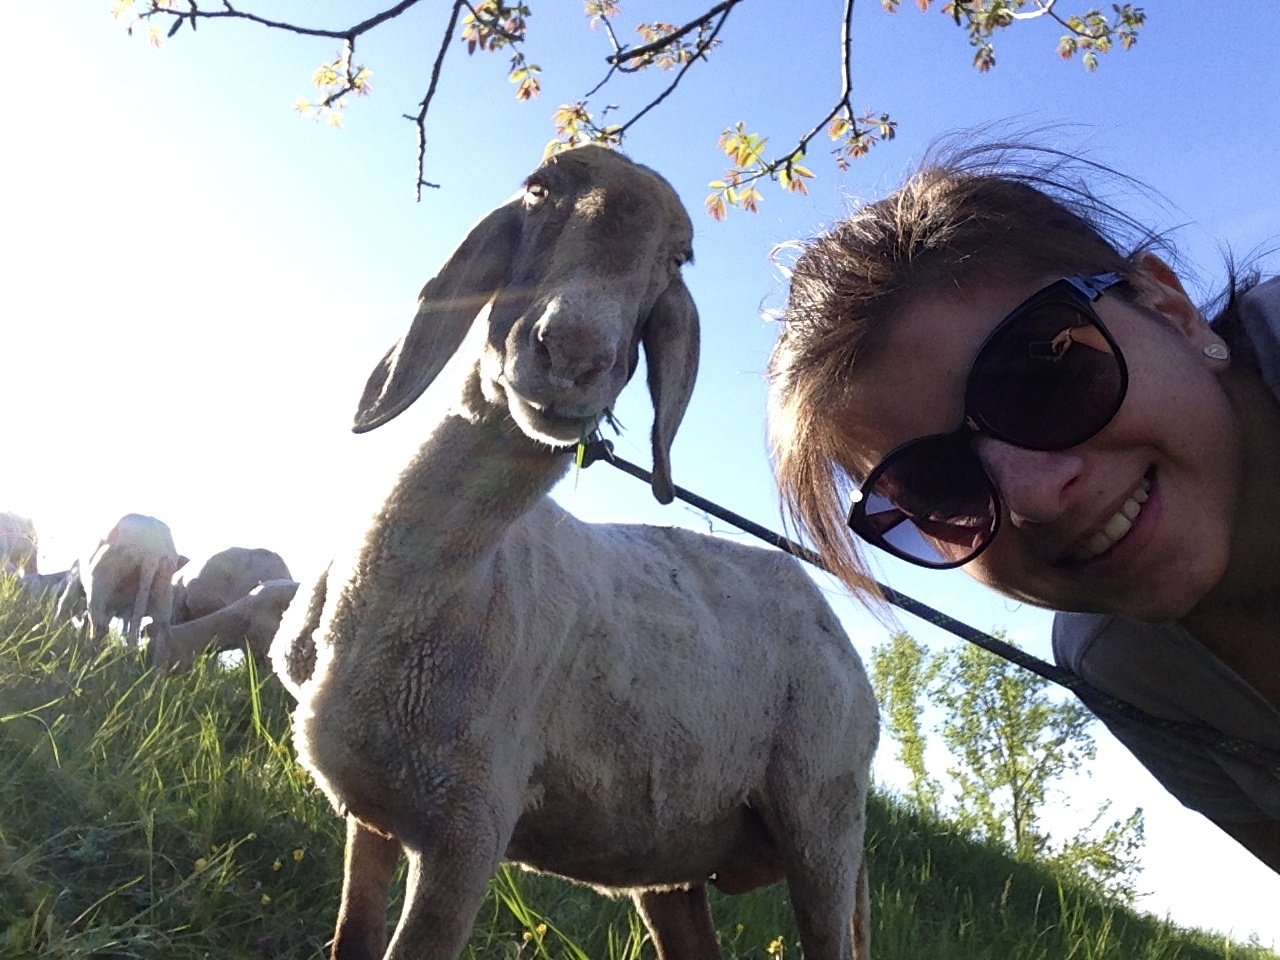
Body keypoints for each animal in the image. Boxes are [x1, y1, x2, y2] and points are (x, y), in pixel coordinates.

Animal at [272, 144, 878, 960]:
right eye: (538, 191)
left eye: (677, 257)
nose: (574, 353)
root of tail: (837, 630)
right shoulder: (369, 808)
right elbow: (350, 939)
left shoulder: (469, 824)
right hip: (675, 856)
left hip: (824, 818)